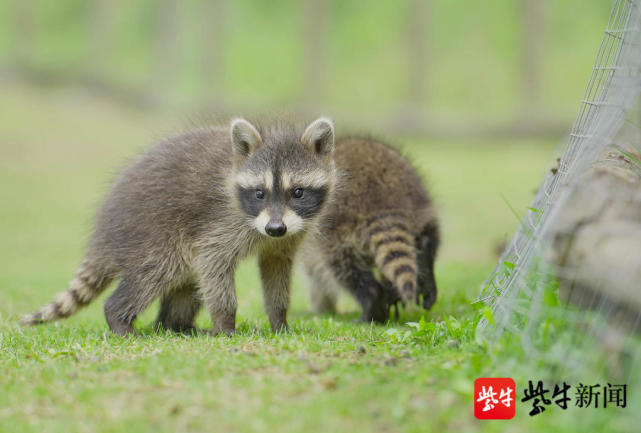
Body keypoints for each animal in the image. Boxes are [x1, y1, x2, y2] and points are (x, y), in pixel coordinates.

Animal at [21, 116, 338, 336]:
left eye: (298, 192)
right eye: (260, 193)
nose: (274, 228)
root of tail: (103, 235)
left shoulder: (284, 239)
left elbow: (276, 269)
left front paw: (279, 320)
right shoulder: (220, 223)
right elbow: (214, 264)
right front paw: (226, 323)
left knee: (186, 285)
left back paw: (176, 326)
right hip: (152, 236)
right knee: (154, 274)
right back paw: (120, 319)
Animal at [298, 135, 438, 320]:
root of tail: (381, 198)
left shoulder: (311, 247)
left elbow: (317, 280)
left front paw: (322, 307)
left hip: (335, 230)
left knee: (346, 269)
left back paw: (371, 306)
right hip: (422, 205)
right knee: (429, 239)